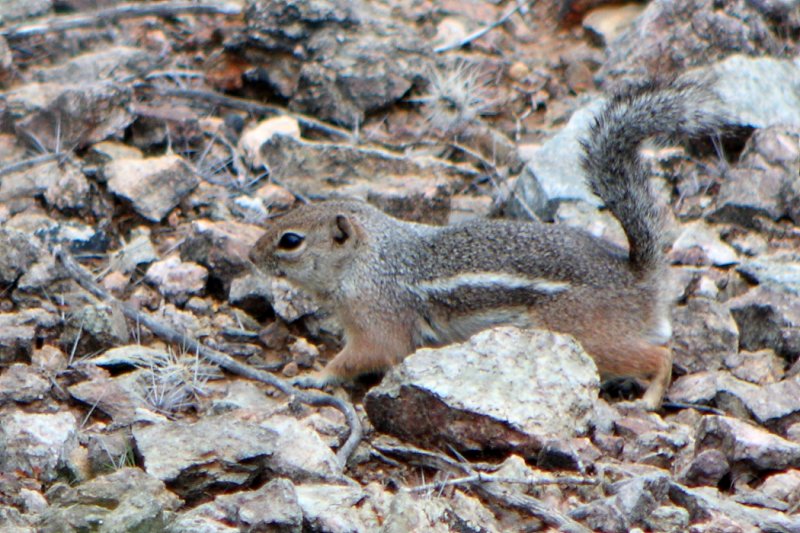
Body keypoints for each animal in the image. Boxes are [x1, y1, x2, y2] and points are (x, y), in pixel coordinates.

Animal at [250, 81, 724, 410]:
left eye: (290, 241)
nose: (251, 255)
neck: (371, 258)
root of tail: (639, 273)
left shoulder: (378, 318)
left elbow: (367, 354)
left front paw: (314, 377)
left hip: (588, 335)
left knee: (660, 356)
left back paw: (649, 399)